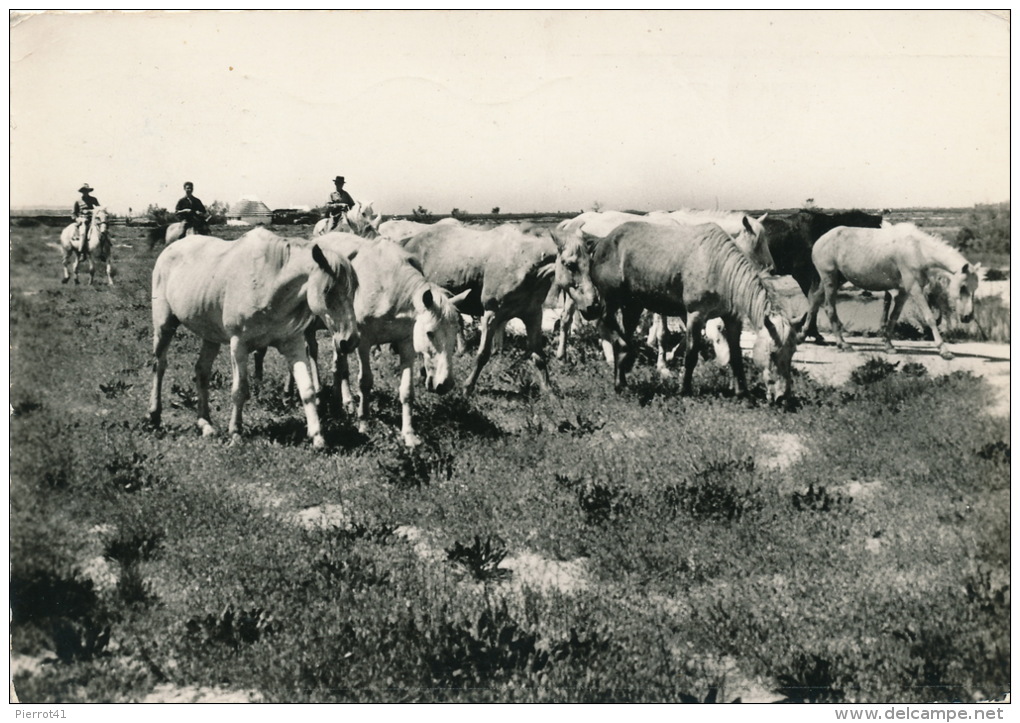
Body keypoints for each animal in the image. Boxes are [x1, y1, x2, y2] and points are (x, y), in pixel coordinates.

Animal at [148, 231, 359, 444]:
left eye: (355, 289)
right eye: (328, 290)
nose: (349, 341)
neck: (269, 283)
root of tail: (172, 247)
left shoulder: (293, 344)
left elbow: (306, 389)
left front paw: (317, 437)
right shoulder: (238, 345)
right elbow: (240, 390)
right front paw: (235, 433)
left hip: (211, 337)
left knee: (202, 371)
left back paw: (205, 424)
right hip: (164, 325)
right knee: (160, 366)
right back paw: (154, 416)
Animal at [807, 221, 975, 358]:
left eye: (974, 289)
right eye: (963, 288)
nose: (967, 317)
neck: (917, 250)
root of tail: (820, 240)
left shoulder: (904, 292)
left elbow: (893, 317)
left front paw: (889, 346)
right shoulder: (915, 289)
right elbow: (930, 318)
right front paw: (944, 350)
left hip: (835, 279)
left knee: (814, 300)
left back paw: (804, 334)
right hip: (830, 279)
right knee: (829, 308)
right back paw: (842, 344)